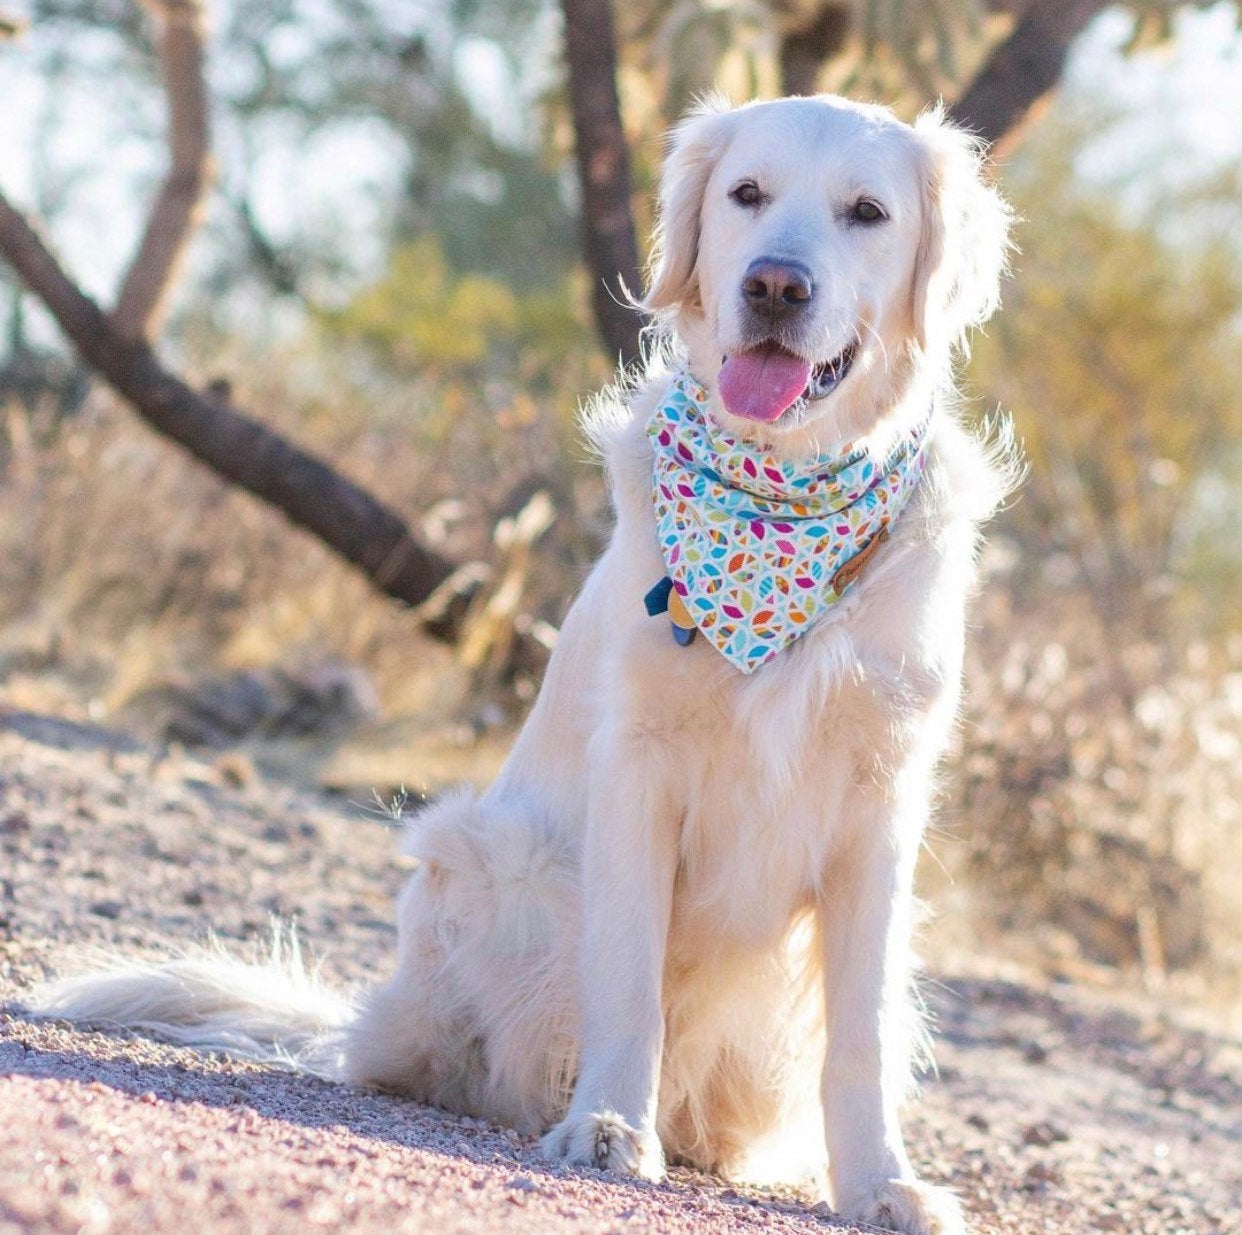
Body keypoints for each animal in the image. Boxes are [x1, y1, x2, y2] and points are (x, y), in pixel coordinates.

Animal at [38, 96, 1013, 1232]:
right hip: (499, 857)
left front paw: (879, 1181)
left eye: (868, 212)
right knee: (451, 1056)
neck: (783, 501)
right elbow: (629, 977)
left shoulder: (880, 803)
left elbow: (862, 1033)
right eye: (747, 194)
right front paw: (610, 1125)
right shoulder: (639, 768)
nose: (775, 285)